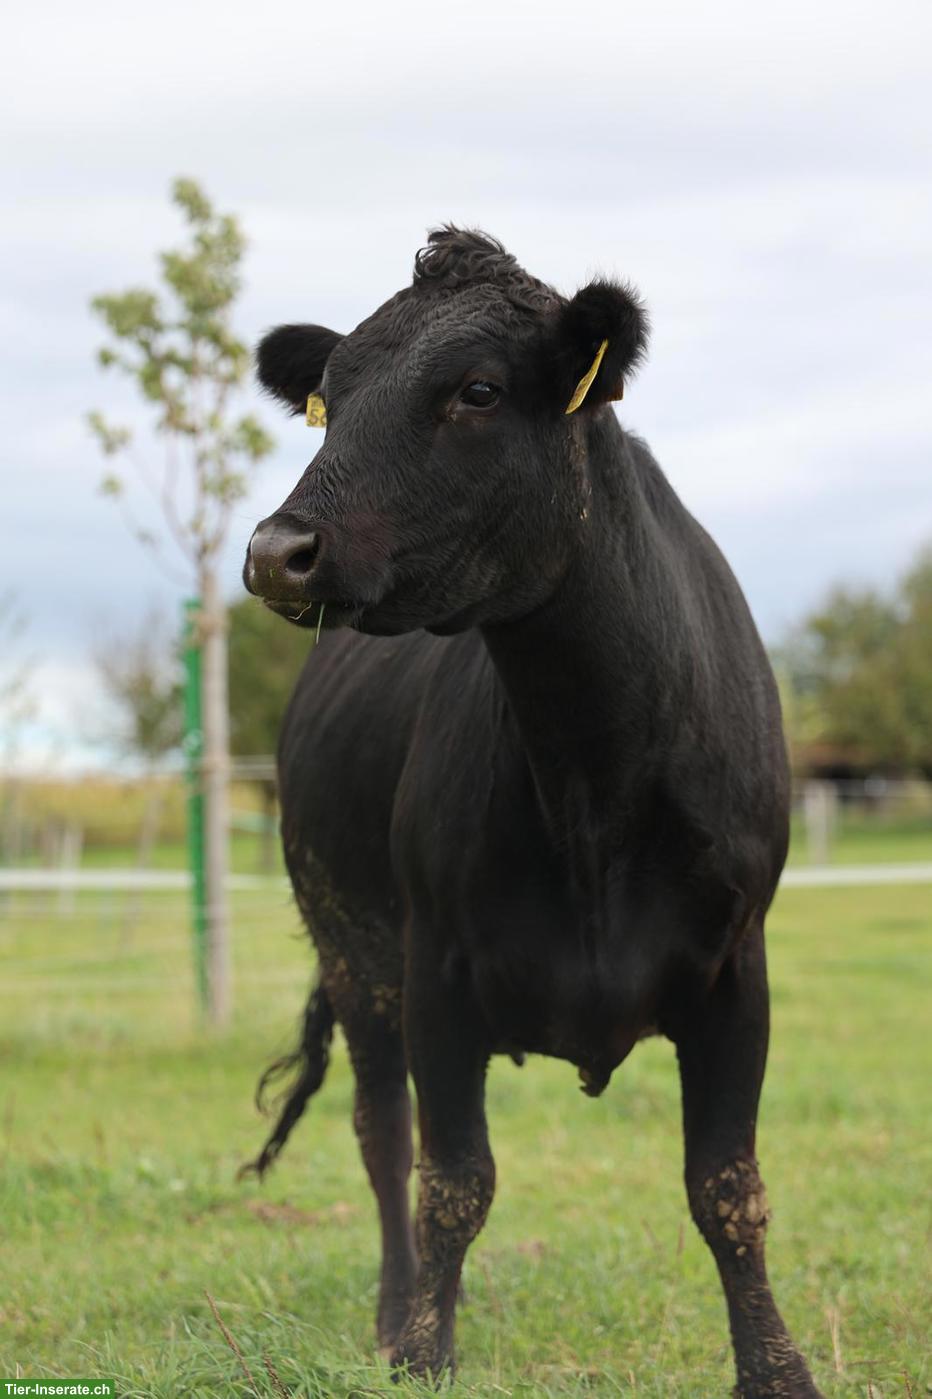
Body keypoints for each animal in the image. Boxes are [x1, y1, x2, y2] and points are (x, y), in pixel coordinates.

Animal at [242, 227, 822, 1397]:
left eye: (477, 390)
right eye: (329, 399)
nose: (278, 550)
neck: (592, 779)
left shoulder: (736, 966)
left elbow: (726, 1186)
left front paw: (776, 1367)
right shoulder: (435, 968)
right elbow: (452, 1179)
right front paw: (425, 1352)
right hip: (349, 947)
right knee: (383, 1131)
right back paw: (394, 1313)